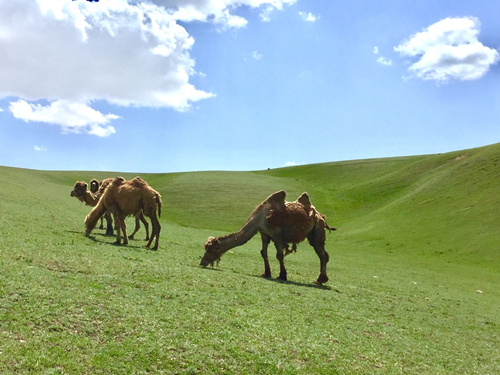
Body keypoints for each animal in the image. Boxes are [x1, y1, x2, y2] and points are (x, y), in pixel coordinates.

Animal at [199, 191, 336, 284]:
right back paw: (320, 279)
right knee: (322, 255)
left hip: (317, 230)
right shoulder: (264, 234)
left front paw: (282, 275)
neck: (259, 219)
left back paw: (320, 280)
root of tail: (321, 216)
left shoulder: (277, 235)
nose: (202, 262)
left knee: (323, 254)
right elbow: (263, 253)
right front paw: (266, 273)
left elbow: (279, 255)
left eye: (210, 250)